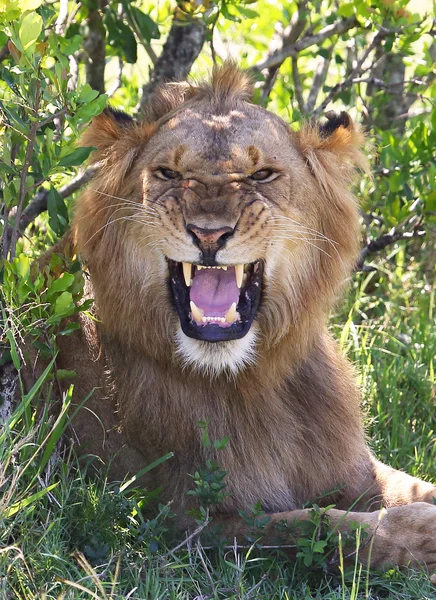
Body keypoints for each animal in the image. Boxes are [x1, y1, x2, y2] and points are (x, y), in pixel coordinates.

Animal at [36, 65, 436, 572]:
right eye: (168, 173)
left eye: (261, 174)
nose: (209, 234)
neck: (250, 379)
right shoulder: (181, 520)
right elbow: (318, 526)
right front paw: (421, 535)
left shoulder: (353, 469)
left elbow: (409, 487)